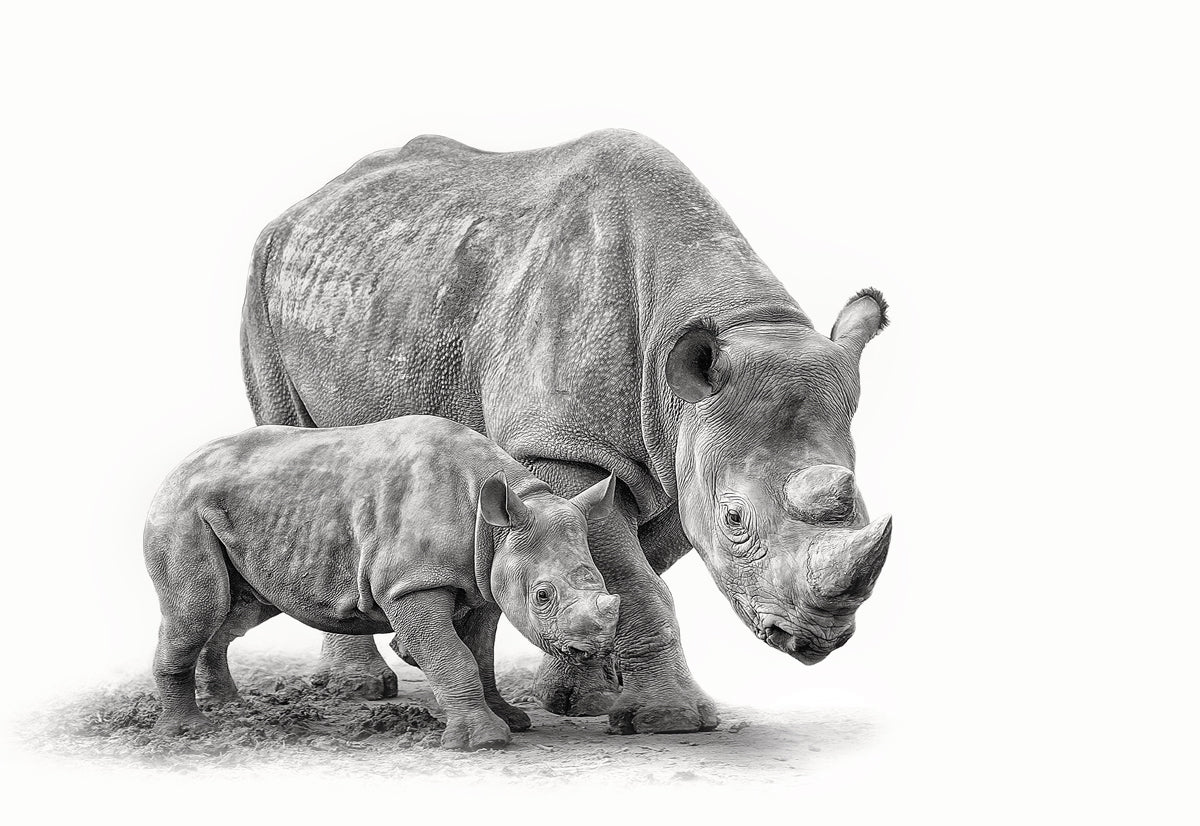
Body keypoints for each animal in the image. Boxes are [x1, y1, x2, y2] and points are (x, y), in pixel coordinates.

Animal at [144, 415, 620, 750]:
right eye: (543, 595)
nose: (592, 648)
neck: (496, 525)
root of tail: (175, 470)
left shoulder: (483, 581)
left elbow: (481, 653)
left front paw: (512, 721)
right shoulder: (411, 583)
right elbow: (454, 656)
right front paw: (484, 742)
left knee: (235, 612)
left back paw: (227, 708)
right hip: (181, 510)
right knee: (199, 609)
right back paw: (188, 733)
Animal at [240, 128, 892, 735]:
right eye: (734, 519)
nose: (815, 638)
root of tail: (302, 206)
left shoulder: (674, 456)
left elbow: (611, 570)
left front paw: (583, 699)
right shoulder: (566, 450)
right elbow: (637, 584)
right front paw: (672, 719)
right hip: (262, 287)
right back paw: (360, 688)